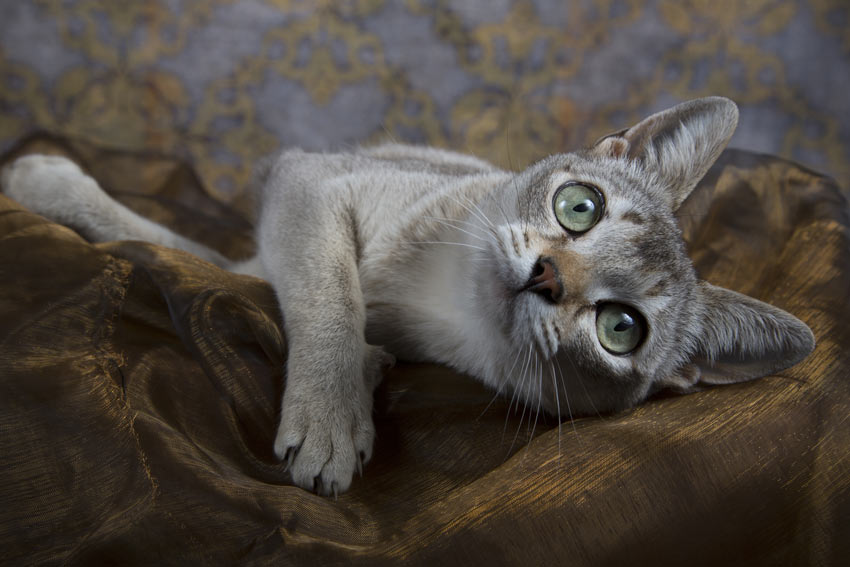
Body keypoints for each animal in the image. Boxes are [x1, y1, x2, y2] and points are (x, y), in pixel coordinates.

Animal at [0, 97, 816, 496]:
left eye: (622, 328)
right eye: (578, 207)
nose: (547, 276)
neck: (434, 298)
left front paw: (355, 390)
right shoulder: (307, 184)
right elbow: (324, 292)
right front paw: (330, 416)